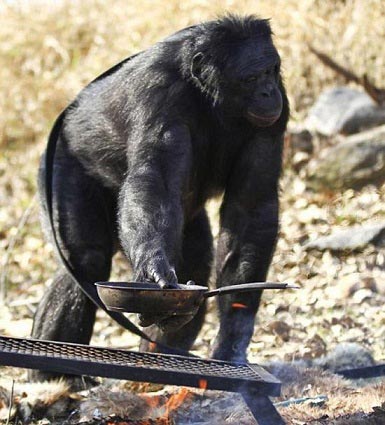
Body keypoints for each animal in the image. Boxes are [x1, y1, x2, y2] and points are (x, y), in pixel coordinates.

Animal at [30, 14, 288, 380]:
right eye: (251, 78)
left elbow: (250, 207)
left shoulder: (279, 111)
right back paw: (53, 375)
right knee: (85, 258)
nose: (268, 91)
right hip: (59, 165)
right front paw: (153, 272)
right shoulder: (157, 95)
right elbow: (156, 181)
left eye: (270, 70)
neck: (209, 98)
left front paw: (232, 338)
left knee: (195, 258)